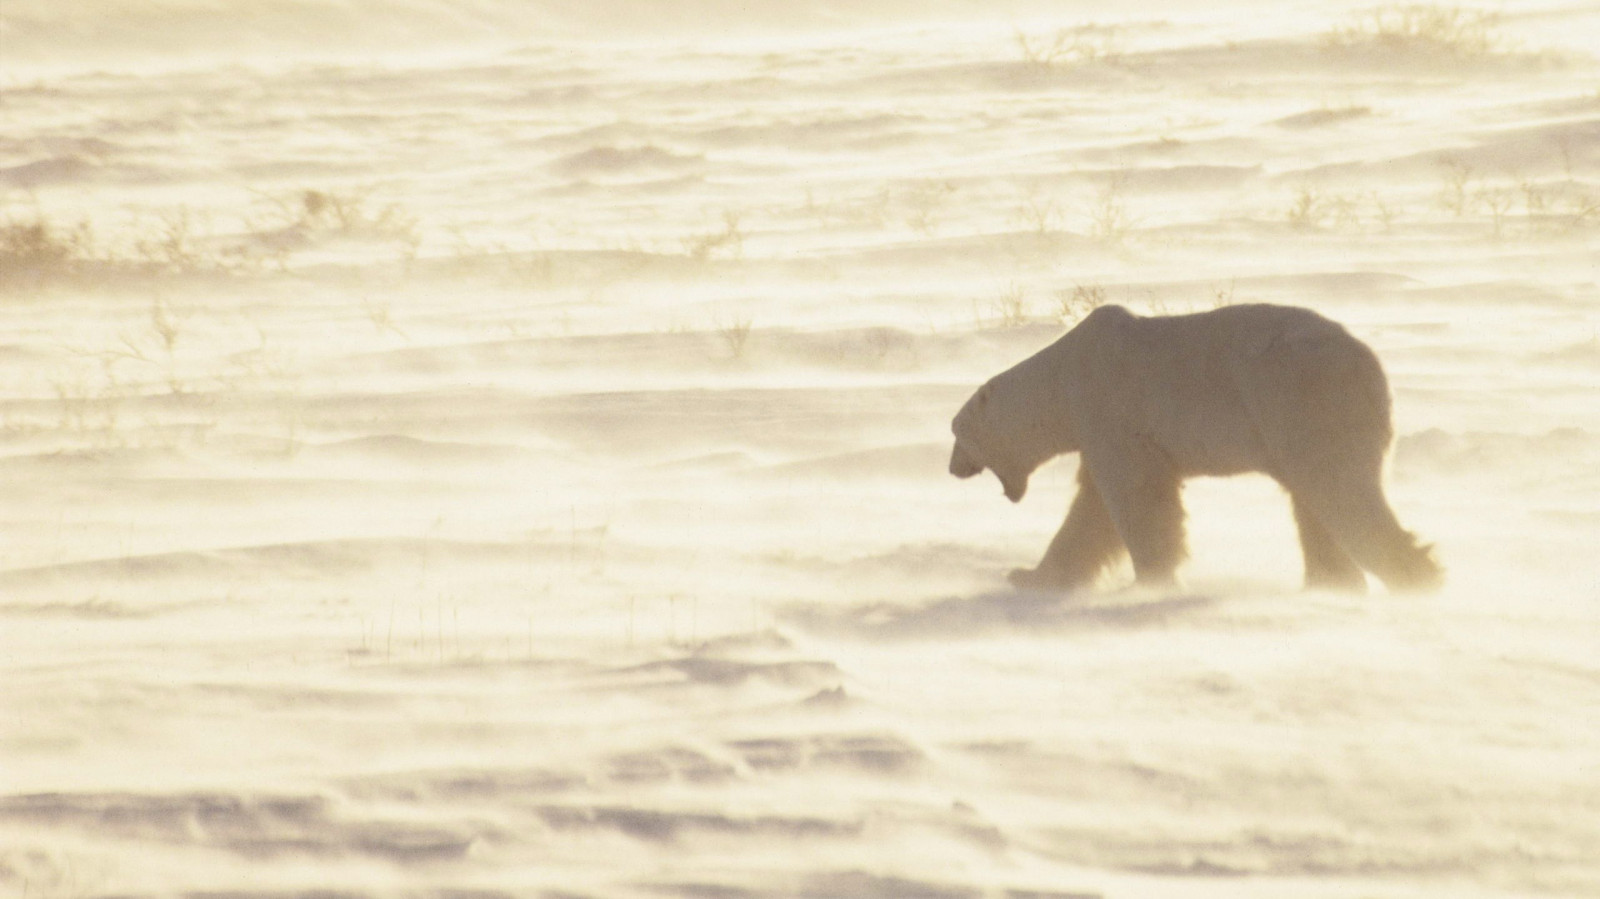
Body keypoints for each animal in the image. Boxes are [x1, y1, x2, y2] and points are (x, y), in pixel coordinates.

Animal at [949, 303, 1441, 593]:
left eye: (956, 433)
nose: (952, 468)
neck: (1062, 377)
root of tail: (1371, 367)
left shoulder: (1111, 409)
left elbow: (1136, 501)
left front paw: (1153, 581)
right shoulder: (1101, 431)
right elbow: (1092, 513)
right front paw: (1029, 576)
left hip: (1302, 400)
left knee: (1338, 489)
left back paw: (1419, 577)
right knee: (1315, 501)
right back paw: (1331, 584)